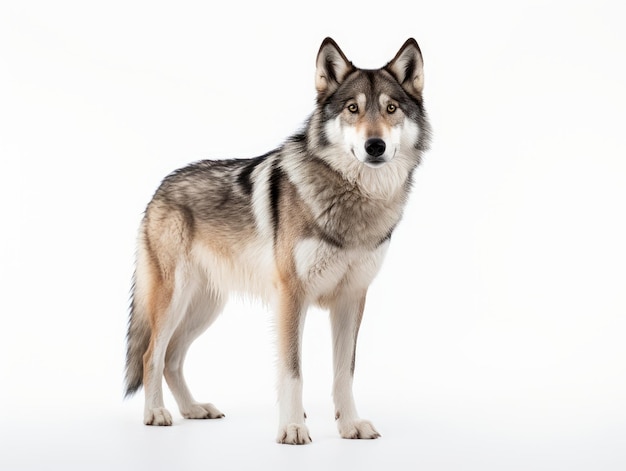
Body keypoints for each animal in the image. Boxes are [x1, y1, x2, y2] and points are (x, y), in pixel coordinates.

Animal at [125, 37, 428, 446]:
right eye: (353, 109)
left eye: (390, 108)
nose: (375, 146)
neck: (353, 202)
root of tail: (161, 186)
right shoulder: (291, 296)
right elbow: (292, 372)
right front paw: (293, 427)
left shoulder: (352, 299)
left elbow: (344, 373)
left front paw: (350, 425)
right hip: (175, 300)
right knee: (151, 355)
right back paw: (156, 413)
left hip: (206, 307)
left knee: (172, 357)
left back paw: (193, 409)